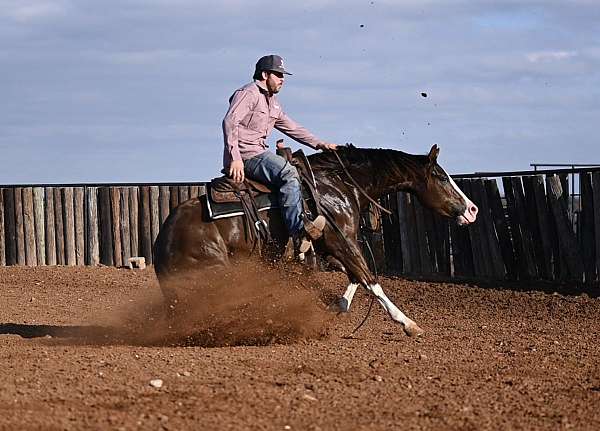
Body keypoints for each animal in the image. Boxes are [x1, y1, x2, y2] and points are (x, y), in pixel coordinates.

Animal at [154, 145, 478, 338]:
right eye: (441, 176)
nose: (472, 209)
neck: (338, 185)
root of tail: (162, 242)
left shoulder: (333, 247)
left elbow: (354, 278)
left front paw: (338, 306)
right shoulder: (342, 240)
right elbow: (369, 278)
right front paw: (408, 323)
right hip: (214, 274)